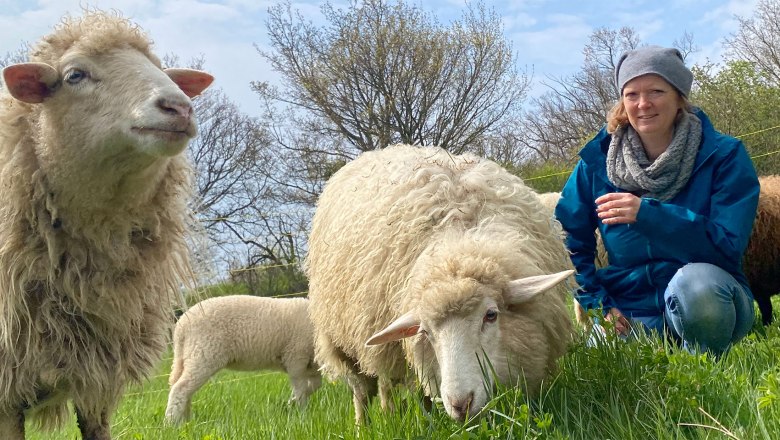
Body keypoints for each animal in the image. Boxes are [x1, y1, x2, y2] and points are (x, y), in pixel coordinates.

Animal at [165, 294, 320, 424]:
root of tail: (181, 328)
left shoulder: (311, 366)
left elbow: (315, 385)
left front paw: (291, 404)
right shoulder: (296, 357)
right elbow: (300, 388)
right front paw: (301, 411)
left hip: (189, 356)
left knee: (181, 387)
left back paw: (185, 421)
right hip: (203, 354)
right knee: (180, 388)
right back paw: (171, 423)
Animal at [308, 144, 576, 422]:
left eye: (491, 315)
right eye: (425, 331)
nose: (460, 404)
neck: (460, 240)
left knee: (385, 383)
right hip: (343, 342)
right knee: (362, 390)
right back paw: (364, 424)